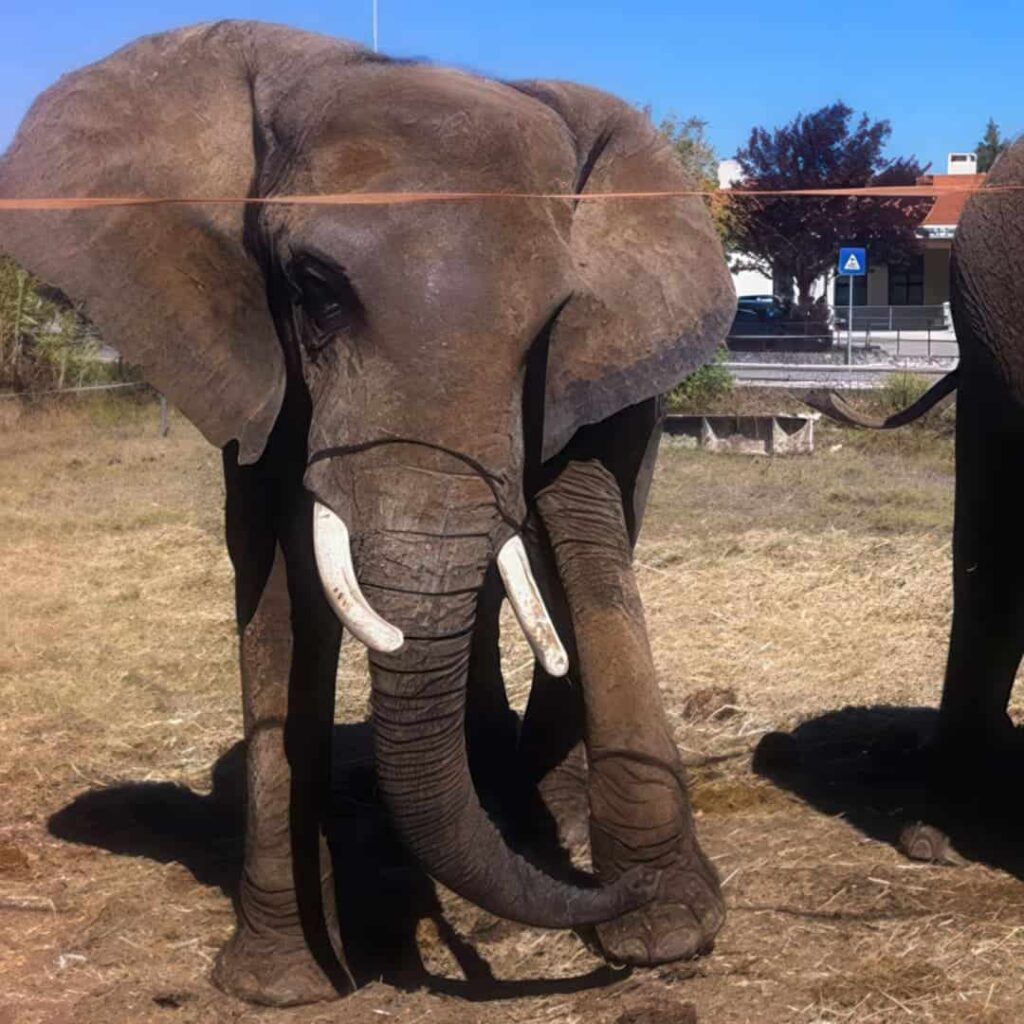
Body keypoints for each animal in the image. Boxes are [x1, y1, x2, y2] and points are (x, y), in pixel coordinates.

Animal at [0, 21, 736, 1005]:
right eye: (315, 289)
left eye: (550, 318)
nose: (615, 897)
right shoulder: (256, 358)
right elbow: (277, 578)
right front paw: (284, 985)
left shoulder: (586, 359)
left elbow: (581, 529)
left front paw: (665, 930)